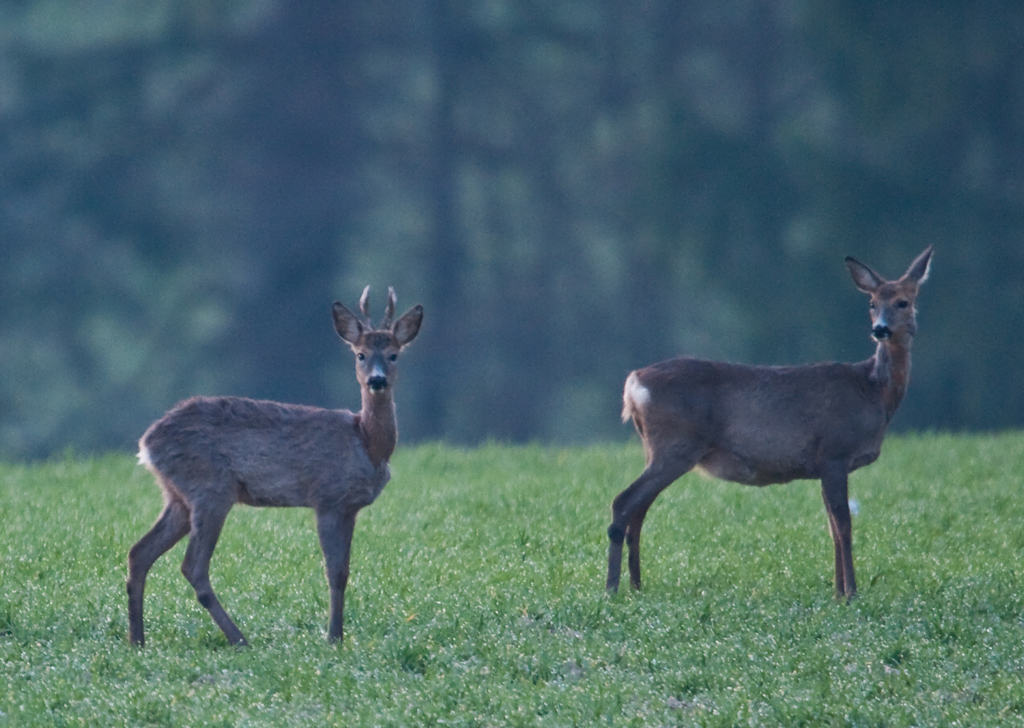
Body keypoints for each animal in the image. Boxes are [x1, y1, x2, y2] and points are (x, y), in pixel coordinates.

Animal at [127, 287, 423, 647]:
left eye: (394, 355)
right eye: (360, 354)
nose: (377, 381)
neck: (368, 443)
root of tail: (147, 444)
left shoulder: (350, 508)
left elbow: (345, 572)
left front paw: (337, 635)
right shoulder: (326, 497)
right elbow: (334, 571)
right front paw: (332, 637)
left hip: (178, 496)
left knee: (139, 552)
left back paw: (138, 640)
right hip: (210, 489)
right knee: (192, 565)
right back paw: (239, 639)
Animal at [606, 247, 932, 600]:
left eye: (903, 301)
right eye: (872, 303)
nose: (880, 329)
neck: (873, 390)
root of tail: (633, 383)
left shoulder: (824, 464)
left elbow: (832, 526)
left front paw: (837, 591)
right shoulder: (834, 453)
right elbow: (843, 525)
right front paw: (852, 593)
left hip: (659, 448)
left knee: (638, 509)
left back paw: (636, 585)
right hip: (675, 445)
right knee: (623, 502)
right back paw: (611, 588)